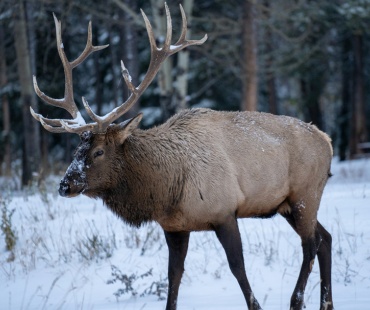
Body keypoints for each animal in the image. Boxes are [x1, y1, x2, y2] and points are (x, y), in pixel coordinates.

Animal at [30, 3, 334, 310]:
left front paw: (257, 305)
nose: (64, 185)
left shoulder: (224, 211)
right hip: (286, 204)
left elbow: (238, 267)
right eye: (76, 150)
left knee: (310, 244)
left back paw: (297, 301)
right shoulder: (174, 227)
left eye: (99, 151)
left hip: (305, 194)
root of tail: (327, 141)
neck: (166, 190)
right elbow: (173, 275)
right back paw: (326, 303)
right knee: (326, 238)